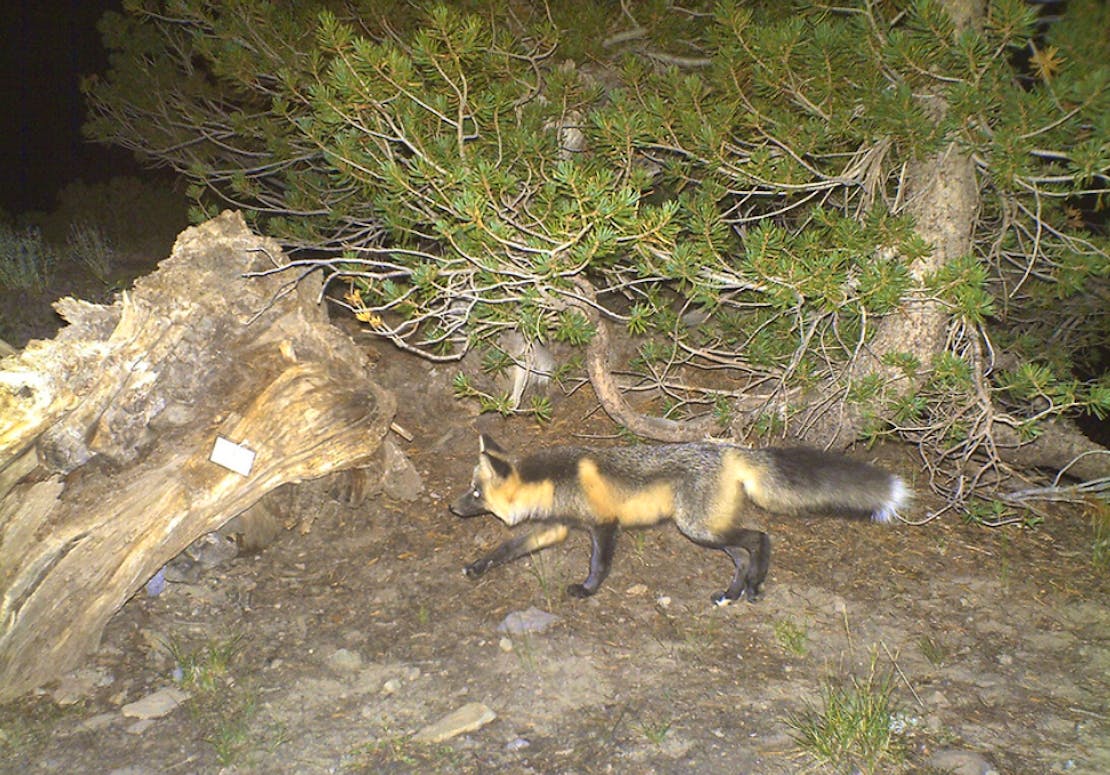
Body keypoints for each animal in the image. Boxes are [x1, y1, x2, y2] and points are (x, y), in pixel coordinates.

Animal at [450, 435, 910, 604]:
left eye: (474, 493)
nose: (453, 509)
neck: (555, 480)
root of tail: (730, 449)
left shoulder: (604, 526)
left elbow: (599, 564)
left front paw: (587, 590)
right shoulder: (555, 526)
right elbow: (506, 549)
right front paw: (476, 566)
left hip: (698, 528)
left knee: (760, 538)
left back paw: (755, 586)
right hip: (707, 531)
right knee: (741, 553)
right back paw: (732, 592)